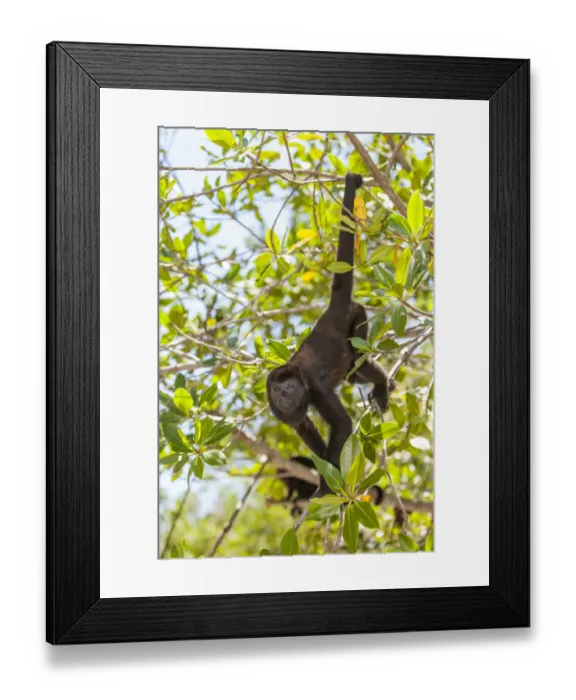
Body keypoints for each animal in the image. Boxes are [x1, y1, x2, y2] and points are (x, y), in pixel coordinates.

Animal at [266, 172, 394, 498]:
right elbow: (305, 428)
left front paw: (325, 485)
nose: (285, 397)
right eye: (278, 391)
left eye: (291, 387)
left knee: (359, 362)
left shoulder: (314, 388)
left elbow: (343, 426)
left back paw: (382, 385)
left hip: (357, 316)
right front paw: (323, 470)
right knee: (352, 375)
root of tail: (333, 308)